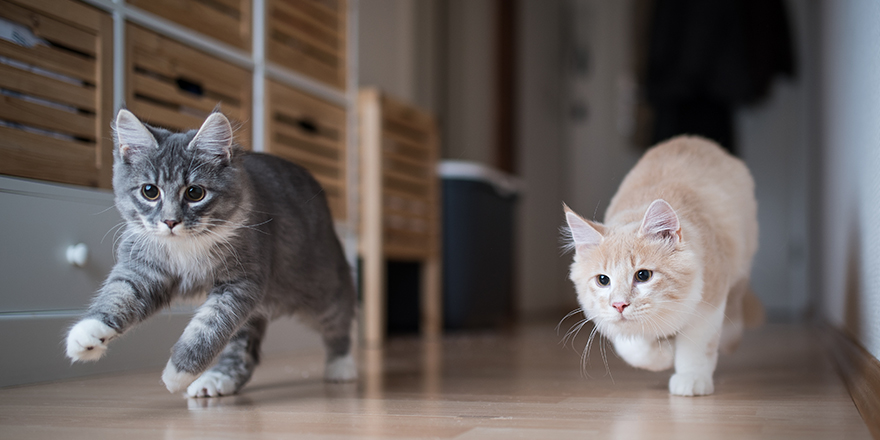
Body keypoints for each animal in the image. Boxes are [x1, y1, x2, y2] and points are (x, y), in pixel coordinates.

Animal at [64, 110, 358, 398]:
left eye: (195, 193)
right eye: (150, 191)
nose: (170, 221)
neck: (186, 247)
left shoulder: (240, 284)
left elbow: (208, 328)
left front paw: (178, 372)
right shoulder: (143, 269)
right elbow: (119, 295)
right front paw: (87, 333)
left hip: (321, 289)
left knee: (340, 318)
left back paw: (342, 365)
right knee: (242, 352)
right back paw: (218, 379)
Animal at [564, 135, 764, 396]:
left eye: (643, 275)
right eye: (603, 280)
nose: (619, 305)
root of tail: (693, 138)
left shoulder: (708, 299)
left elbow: (696, 346)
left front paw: (691, 377)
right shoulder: (608, 321)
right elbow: (634, 349)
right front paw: (664, 353)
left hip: (741, 259)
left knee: (736, 305)